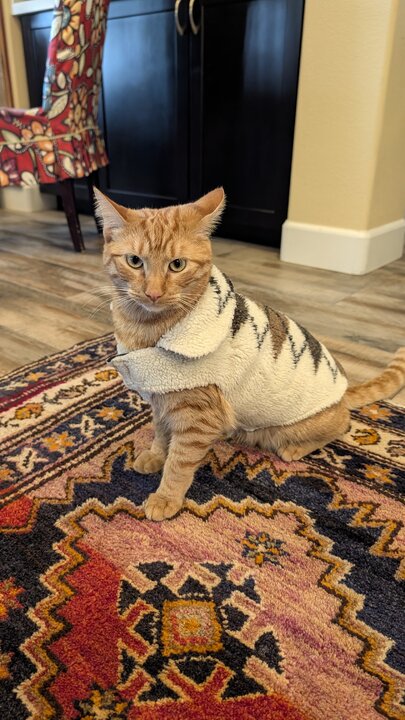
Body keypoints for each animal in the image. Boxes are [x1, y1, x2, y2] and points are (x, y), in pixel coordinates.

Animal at [94, 187, 405, 522]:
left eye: (177, 265)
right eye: (134, 261)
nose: (153, 293)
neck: (146, 329)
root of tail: (344, 389)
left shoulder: (197, 416)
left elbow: (179, 462)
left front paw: (166, 497)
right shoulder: (161, 397)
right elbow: (161, 433)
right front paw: (154, 456)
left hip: (300, 425)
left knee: (342, 425)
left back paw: (296, 447)